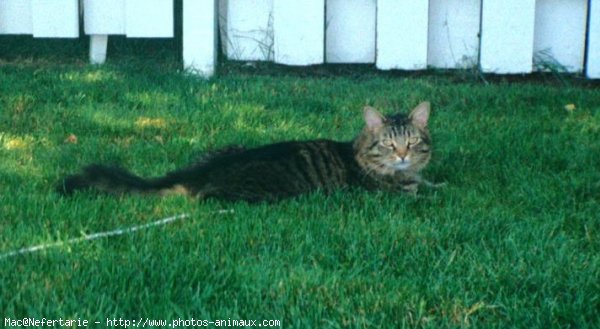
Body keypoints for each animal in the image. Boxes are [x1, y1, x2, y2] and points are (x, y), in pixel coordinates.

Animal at [58, 101, 436, 201]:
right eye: (388, 143)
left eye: (412, 142)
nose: (402, 155)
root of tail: (196, 173)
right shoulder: (392, 195)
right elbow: (424, 192)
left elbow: (432, 183)